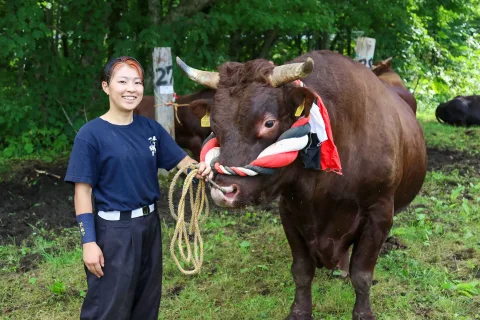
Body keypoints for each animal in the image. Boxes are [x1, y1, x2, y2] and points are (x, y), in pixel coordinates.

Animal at [177, 51, 428, 318]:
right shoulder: (290, 210)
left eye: (269, 123)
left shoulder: (379, 213)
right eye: (214, 125)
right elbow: (301, 270)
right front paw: (299, 311)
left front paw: (363, 313)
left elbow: (362, 274)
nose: (224, 190)